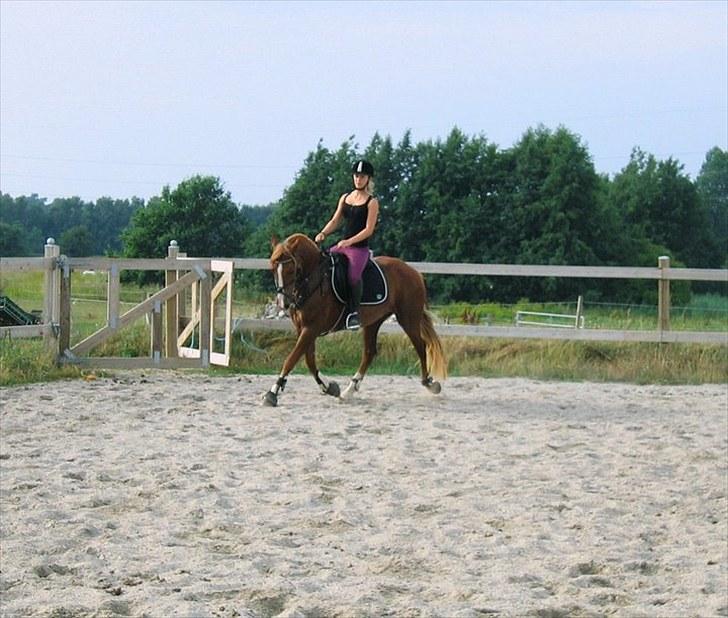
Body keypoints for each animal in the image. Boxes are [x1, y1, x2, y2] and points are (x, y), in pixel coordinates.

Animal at [264, 232, 446, 404]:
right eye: (273, 269)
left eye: (291, 270)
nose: (283, 303)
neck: (314, 281)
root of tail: (414, 272)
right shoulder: (303, 328)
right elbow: (309, 360)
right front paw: (329, 387)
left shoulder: (311, 328)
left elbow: (292, 358)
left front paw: (272, 393)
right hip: (374, 322)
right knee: (369, 353)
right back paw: (349, 390)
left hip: (408, 318)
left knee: (421, 346)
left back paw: (429, 384)